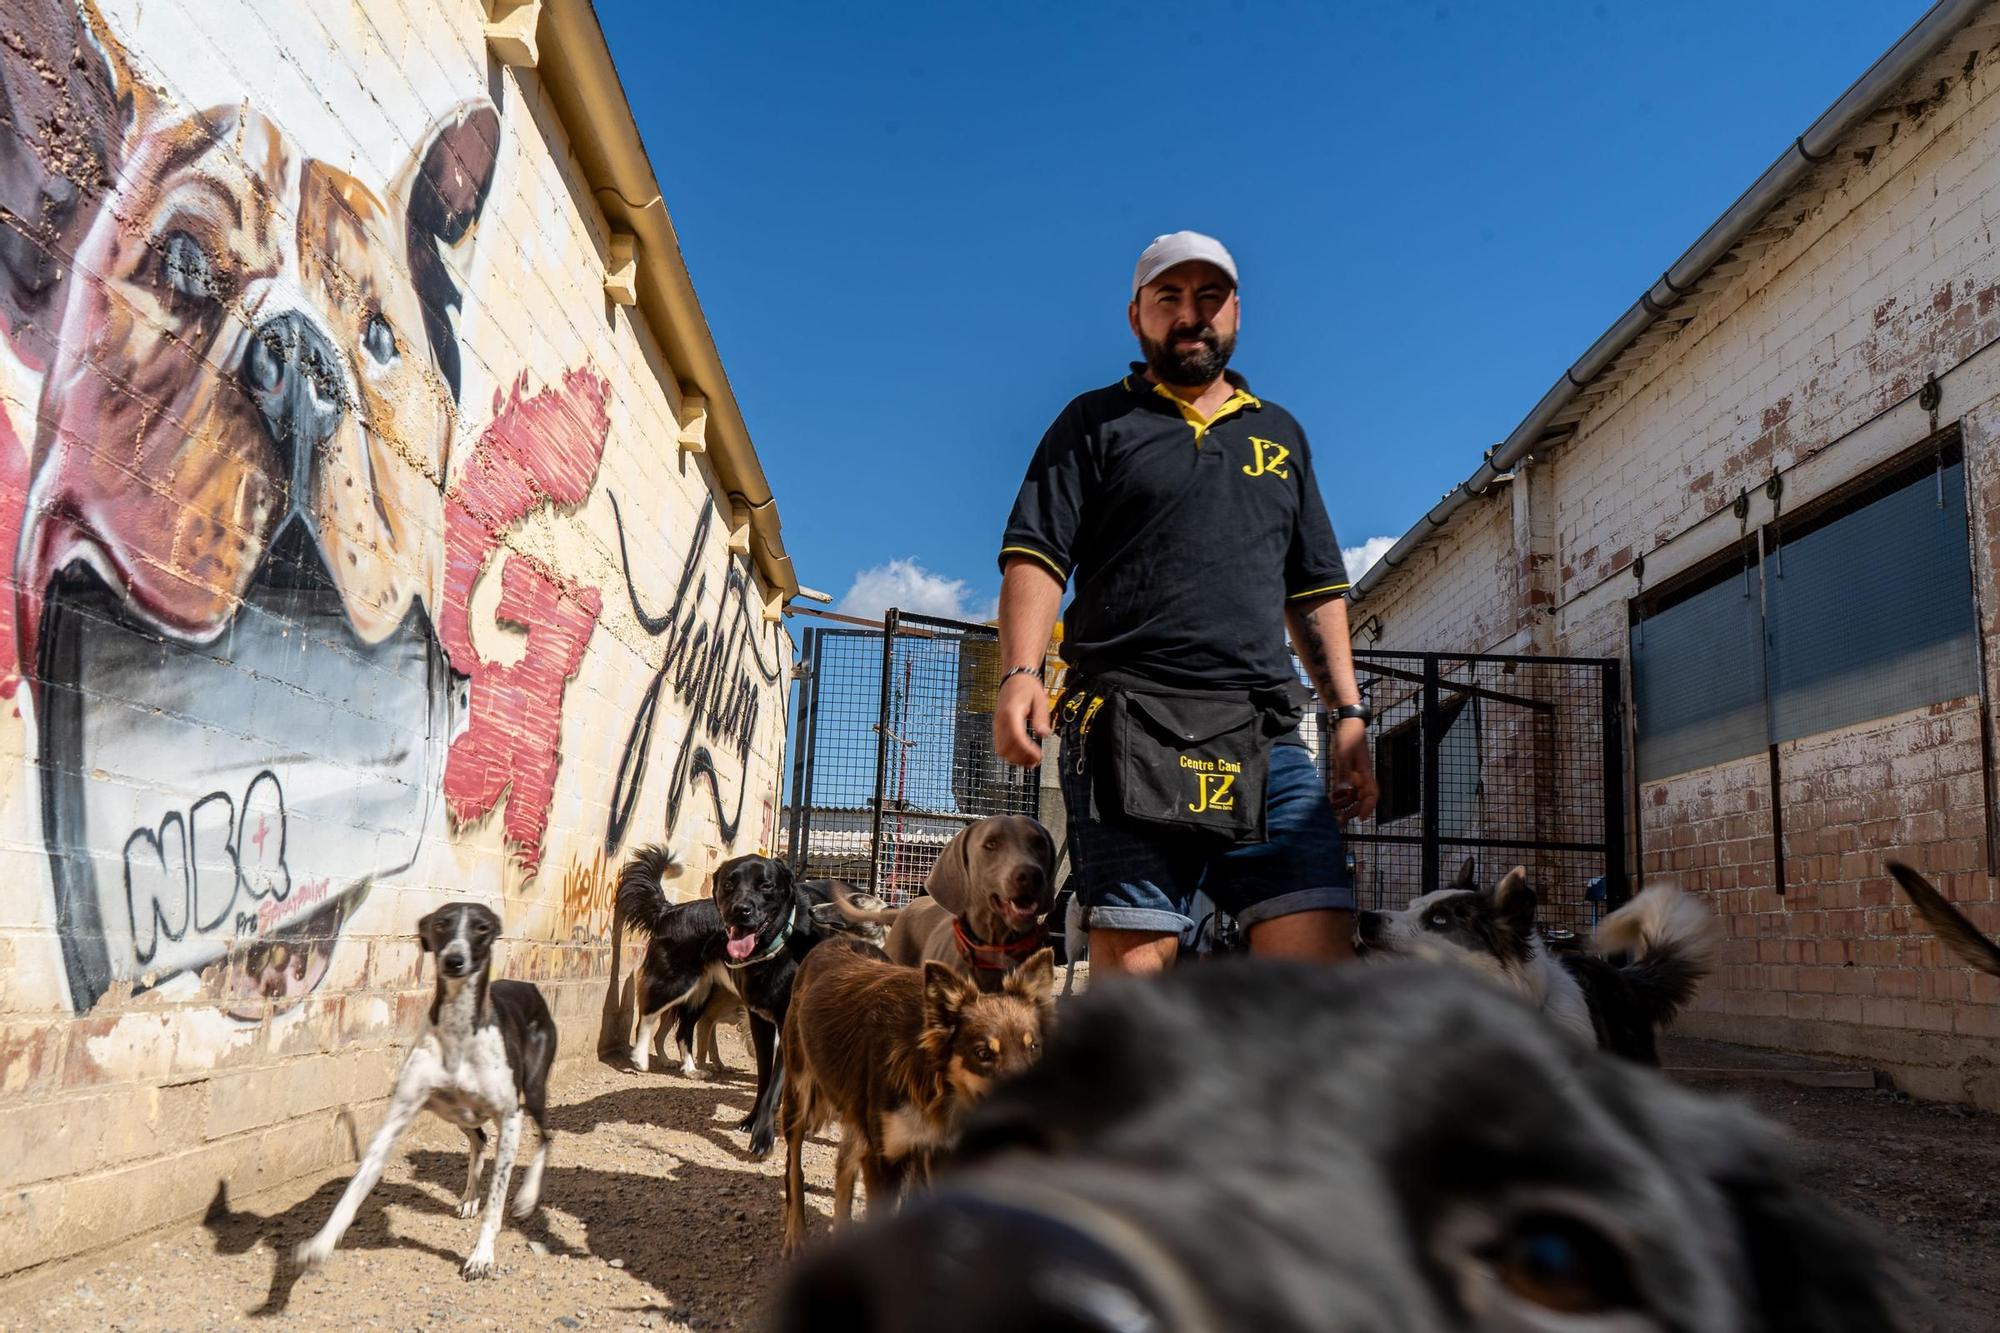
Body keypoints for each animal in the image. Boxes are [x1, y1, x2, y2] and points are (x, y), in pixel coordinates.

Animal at [292, 904, 556, 1280]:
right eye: (441, 924)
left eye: (482, 927)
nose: (454, 961)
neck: (459, 1030)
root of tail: (528, 983)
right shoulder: (398, 1116)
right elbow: (354, 1189)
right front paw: (320, 1245)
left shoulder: (510, 1117)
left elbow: (497, 1201)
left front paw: (482, 1256)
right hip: (456, 1112)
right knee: (479, 1139)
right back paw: (470, 1197)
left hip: (532, 1092)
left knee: (545, 1136)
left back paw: (527, 1198)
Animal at [784, 928, 1064, 1248]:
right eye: (983, 1053)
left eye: (1034, 1047)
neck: (938, 1087)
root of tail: (833, 939)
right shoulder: (884, 1159)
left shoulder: (937, 1154)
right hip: (799, 1093)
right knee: (793, 1167)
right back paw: (796, 1235)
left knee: (844, 1163)